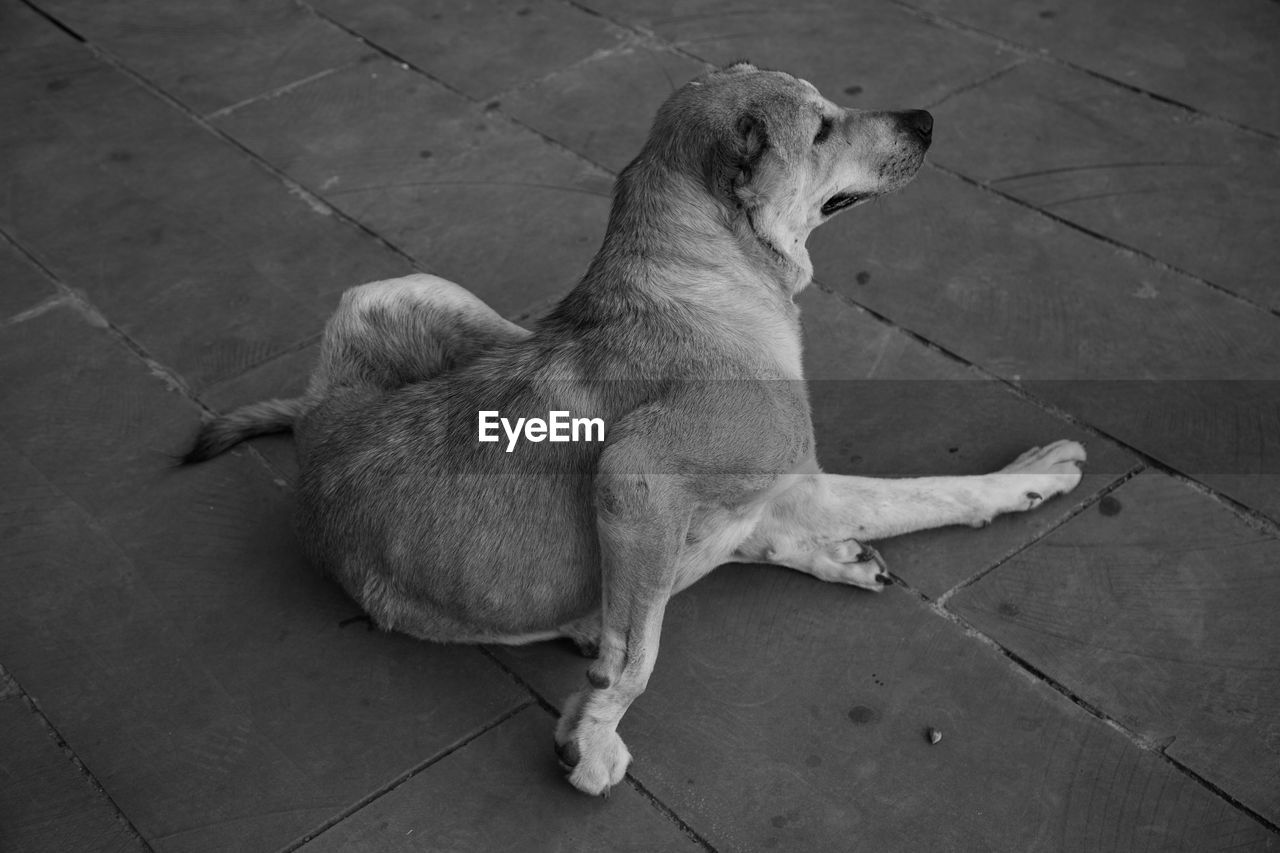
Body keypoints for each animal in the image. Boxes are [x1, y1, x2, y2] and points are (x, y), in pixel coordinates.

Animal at [186, 61, 1080, 799]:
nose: (926, 119)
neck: (703, 272)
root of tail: (314, 425)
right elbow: (641, 655)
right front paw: (591, 734)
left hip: (405, 288)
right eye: (821, 128)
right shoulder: (641, 477)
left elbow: (902, 498)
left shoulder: (774, 480)